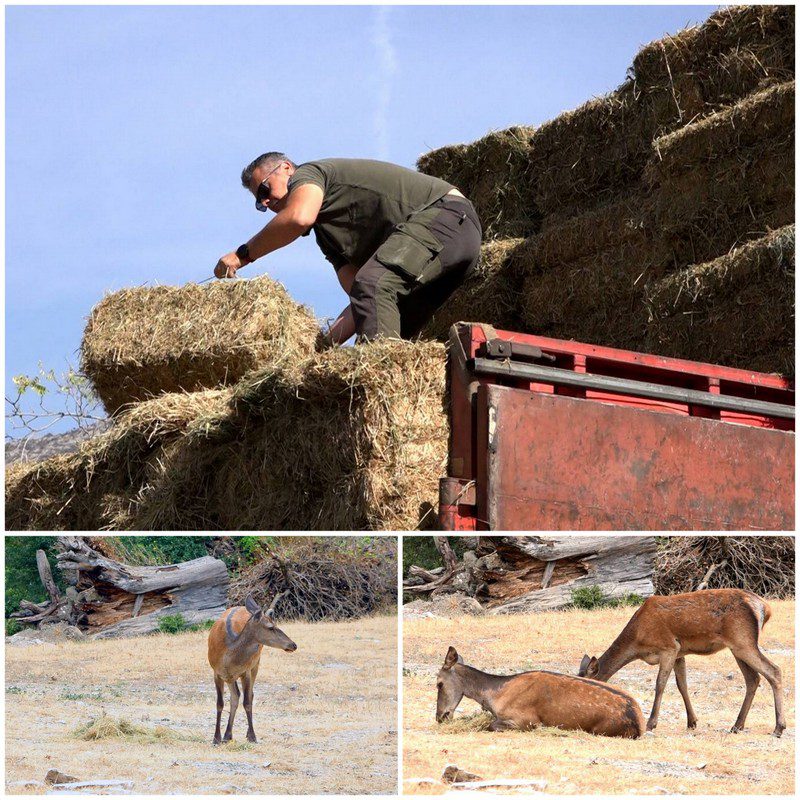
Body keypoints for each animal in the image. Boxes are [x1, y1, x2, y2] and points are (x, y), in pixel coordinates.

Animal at [206, 592, 296, 748]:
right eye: (271, 627)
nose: (293, 645)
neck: (228, 655)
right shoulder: (216, 672)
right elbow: (220, 703)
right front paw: (216, 738)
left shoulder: (246, 671)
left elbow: (247, 702)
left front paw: (252, 736)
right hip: (230, 676)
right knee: (235, 696)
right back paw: (227, 735)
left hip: (256, 664)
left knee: (249, 695)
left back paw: (233, 734)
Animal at [438, 648, 644, 740]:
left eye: (438, 683)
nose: (439, 717)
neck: (494, 697)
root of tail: (640, 724)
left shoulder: (526, 720)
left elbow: (490, 725)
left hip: (601, 729)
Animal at [580, 588, 784, 736]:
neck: (638, 641)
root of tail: (765, 609)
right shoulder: (680, 652)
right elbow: (682, 684)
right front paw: (692, 722)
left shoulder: (669, 647)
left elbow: (660, 684)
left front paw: (651, 723)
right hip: (737, 646)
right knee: (753, 678)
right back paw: (737, 725)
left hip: (743, 641)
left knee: (774, 670)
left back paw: (778, 727)